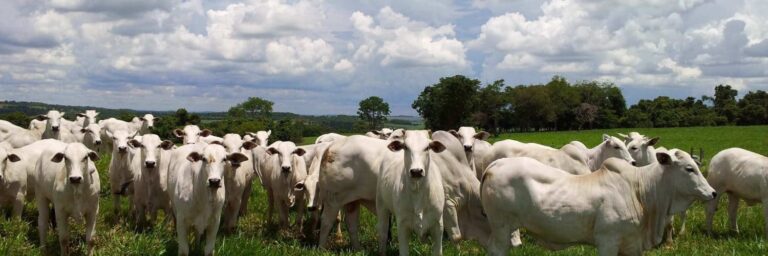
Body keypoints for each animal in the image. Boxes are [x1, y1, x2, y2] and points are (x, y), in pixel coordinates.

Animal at [484, 148, 716, 256]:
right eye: (689, 168)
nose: (713, 193)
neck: (640, 190)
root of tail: (495, 164)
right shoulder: (608, 241)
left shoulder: (632, 244)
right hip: (501, 226)